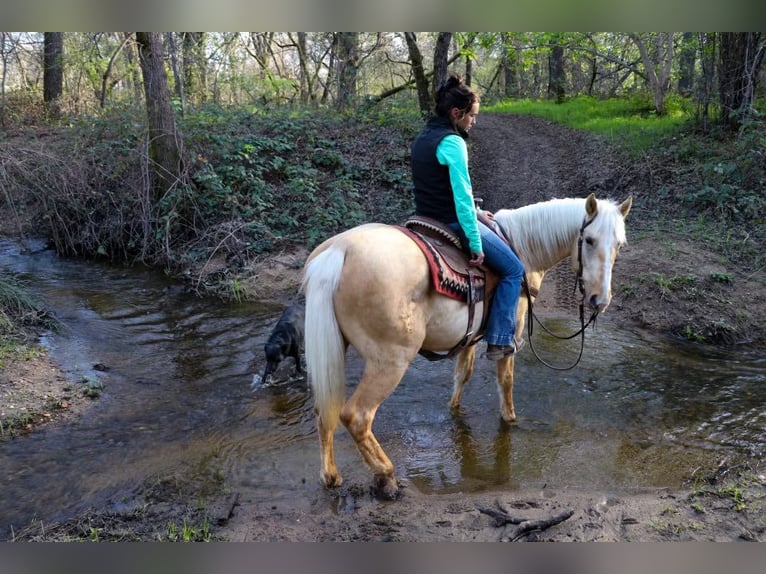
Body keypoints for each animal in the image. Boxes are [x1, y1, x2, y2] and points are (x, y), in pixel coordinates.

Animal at [304, 195, 632, 500]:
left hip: (334, 351)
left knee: (325, 410)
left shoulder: (469, 337)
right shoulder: (509, 334)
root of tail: (339, 251)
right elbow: (505, 380)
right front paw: (510, 419)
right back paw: (386, 475)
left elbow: (463, 374)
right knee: (356, 416)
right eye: (589, 240)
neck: (522, 247)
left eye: (620, 245)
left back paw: (331, 476)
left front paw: (454, 410)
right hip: (391, 360)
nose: (599, 301)